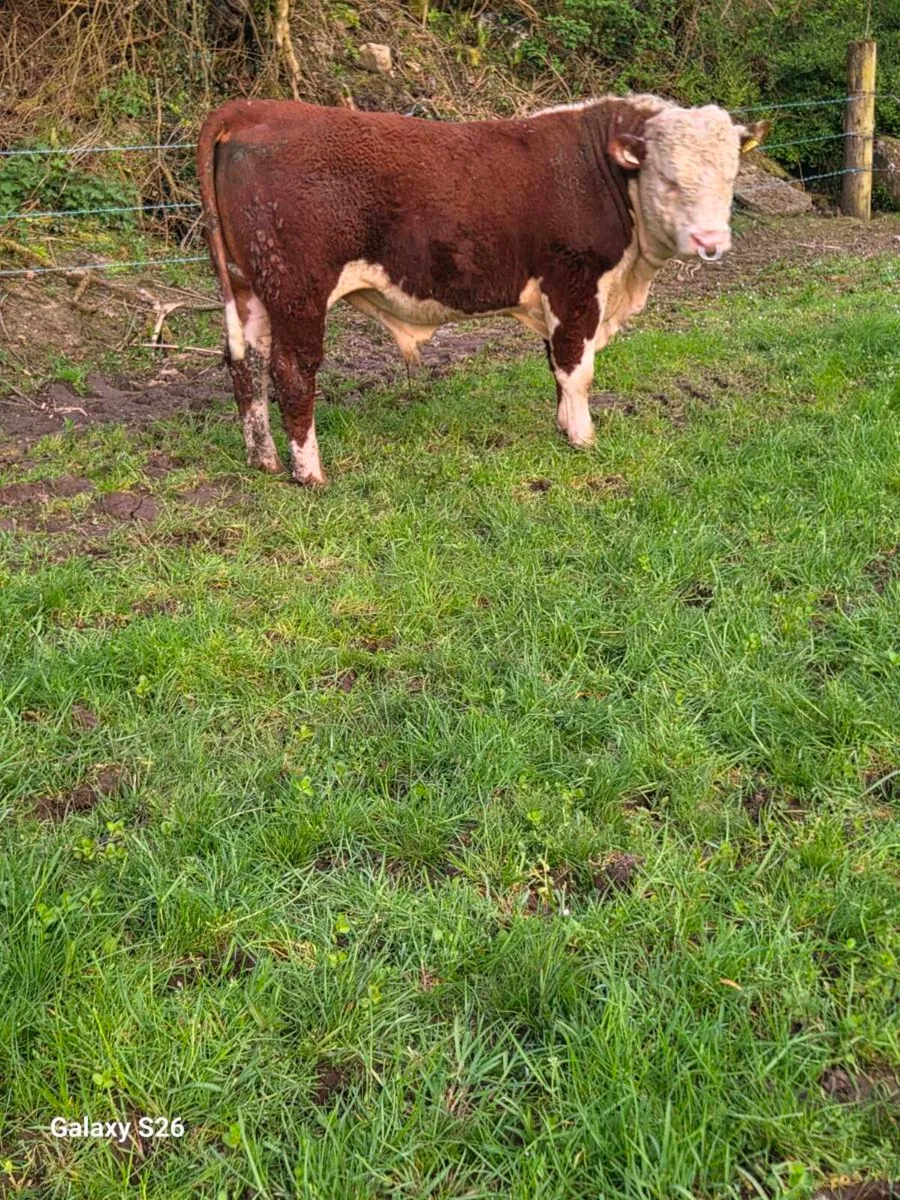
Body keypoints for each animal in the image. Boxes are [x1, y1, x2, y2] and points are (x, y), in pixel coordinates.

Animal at [197, 95, 767, 486]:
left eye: (731, 176)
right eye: (668, 179)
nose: (711, 242)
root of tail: (254, 107)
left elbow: (556, 366)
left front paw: (562, 427)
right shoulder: (575, 283)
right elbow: (576, 368)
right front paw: (583, 439)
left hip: (251, 287)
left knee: (246, 365)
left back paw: (263, 458)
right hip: (298, 290)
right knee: (293, 372)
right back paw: (310, 473)